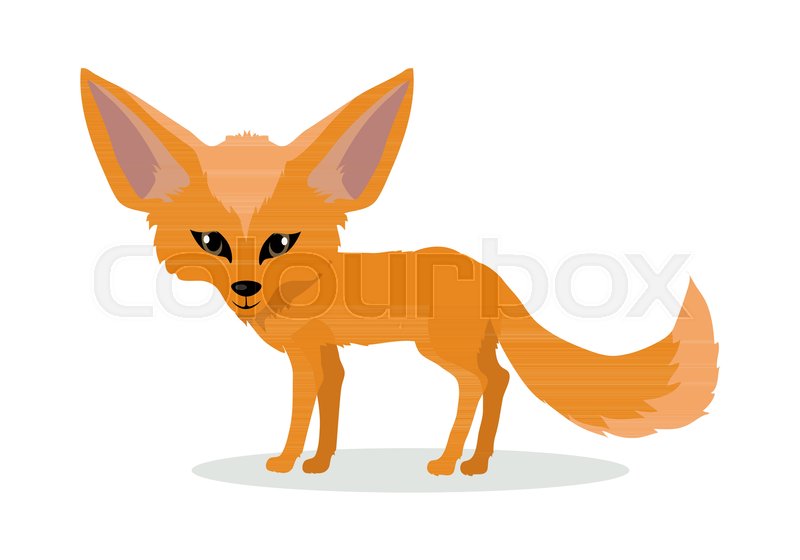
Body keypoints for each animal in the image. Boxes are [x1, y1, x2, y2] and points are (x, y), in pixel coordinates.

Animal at [81, 68, 718, 476]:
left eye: (281, 243)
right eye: (210, 242)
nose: (244, 288)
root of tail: (489, 272)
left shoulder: (306, 355)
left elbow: (301, 411)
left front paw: (286, 461)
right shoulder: (328, 355)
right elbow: (331, 408)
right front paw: (319, 463)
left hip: (442, 350)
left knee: (478, 384)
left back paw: (449, 461)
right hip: (470, 346)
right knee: (500, 380)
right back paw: (478, 461)